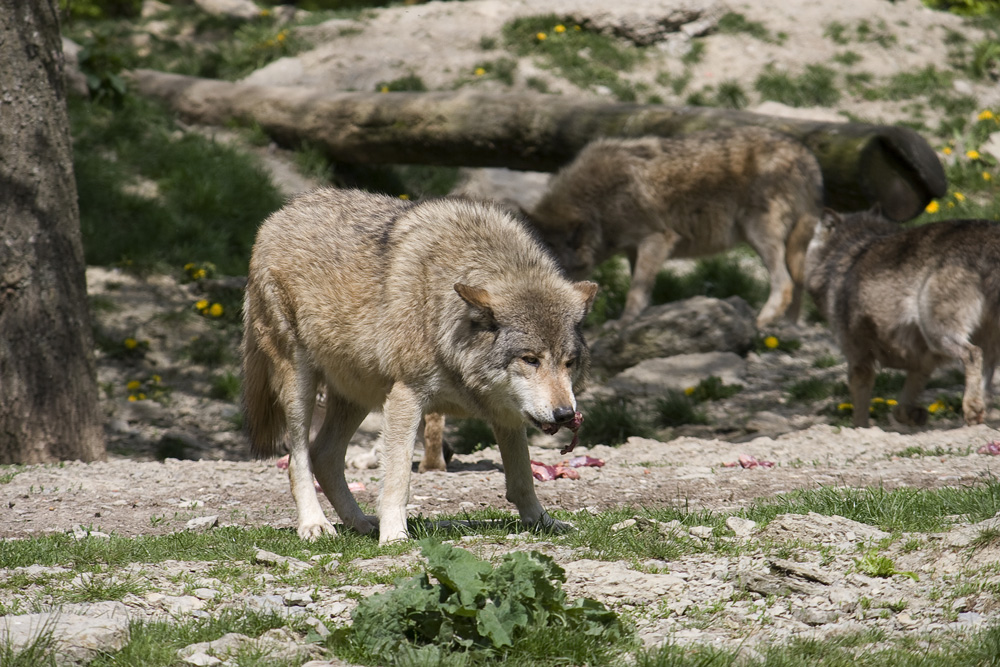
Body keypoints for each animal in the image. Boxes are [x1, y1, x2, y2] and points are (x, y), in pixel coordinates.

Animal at [243, 188, 596, 544]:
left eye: (569, 363)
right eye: (530, 359)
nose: (565, 414)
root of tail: (279, 214)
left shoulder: (505, 414)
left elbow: (523, 479)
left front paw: (542, 521)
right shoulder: (406, 397)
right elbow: (398, 480)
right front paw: (395, 536)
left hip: (359, 395)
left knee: (324, 456)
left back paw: (360, 523)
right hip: (301, 384)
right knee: (298, 458)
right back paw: (315, 524)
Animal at [528, 126, 824, 328]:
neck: (598, 202)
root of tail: (808, 157)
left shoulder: (657, 239)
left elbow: (635, 291)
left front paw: (624, 324)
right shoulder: (635, 250)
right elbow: (642, 288)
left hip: (759, 234)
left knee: (784, 283)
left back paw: (763, 322)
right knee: (796, 282)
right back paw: (788, 326)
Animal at [804, 209, 1000, 428]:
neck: (851, 248)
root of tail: (989, 240)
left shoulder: (858, 359)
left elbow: (860, 408)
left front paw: (860, 429)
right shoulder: (923, 363)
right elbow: (900, 407)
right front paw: (915, 415)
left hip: (938, 334)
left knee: (973, 354)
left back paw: (972, 409)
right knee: (986, 381)